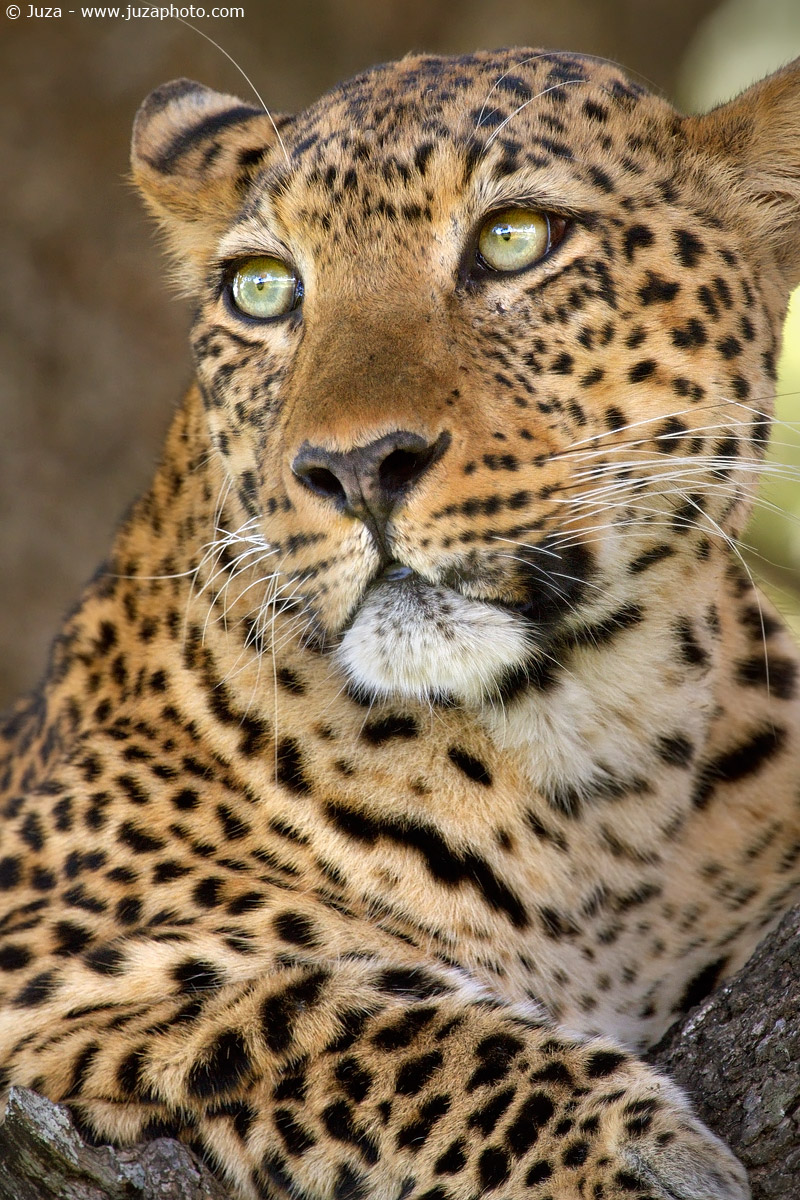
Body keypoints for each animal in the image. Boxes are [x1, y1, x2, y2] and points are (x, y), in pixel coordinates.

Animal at [1, 44, 800, 1200]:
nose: (355, 467)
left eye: (514, 239)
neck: (591, 774)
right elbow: (331, 1020)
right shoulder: (52, 977)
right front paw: (635, 1159)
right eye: (264, 289)